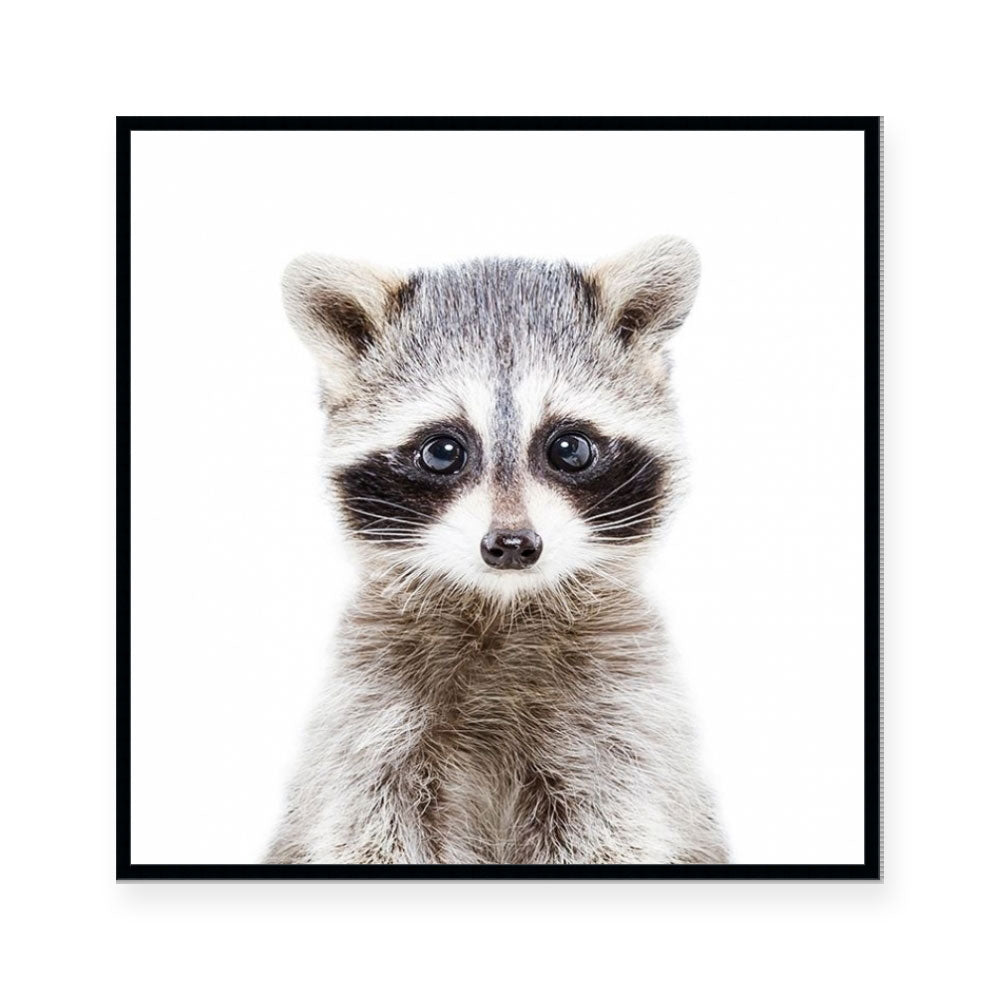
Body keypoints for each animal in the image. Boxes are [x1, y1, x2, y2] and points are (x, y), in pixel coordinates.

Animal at [265, 237, 728, 864]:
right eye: (442, 451)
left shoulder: (625, 719)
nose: (512, 545)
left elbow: (615, 826)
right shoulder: (368, 716)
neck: (501, 607)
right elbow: (366, 826)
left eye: (569, 448)